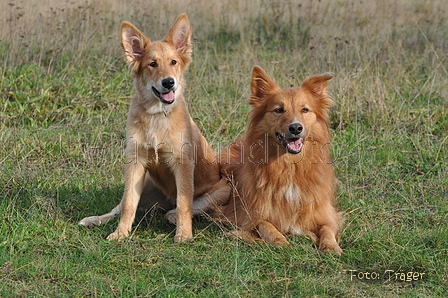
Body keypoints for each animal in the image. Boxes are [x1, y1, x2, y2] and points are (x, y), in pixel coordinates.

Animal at [77, 13, 229, 242]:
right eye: (152, 64)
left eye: (173, 62)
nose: (169, 82)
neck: (158, 115)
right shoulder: (135, 162)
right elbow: (128, 204)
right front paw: (120, 233)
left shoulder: (182, 163)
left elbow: (185, 203)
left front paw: (184, 234)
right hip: (147, 181)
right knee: (119, 206)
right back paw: (94, 219)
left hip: (223, 189)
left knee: (191, 205)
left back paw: (172, 216)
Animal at [216, 66, 344, 254]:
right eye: (278, 110)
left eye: (305, 110)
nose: (296, 128)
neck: (290, 166)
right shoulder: (247, 213)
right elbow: (266, 225)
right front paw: (280, 241)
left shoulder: (325, 213)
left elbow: (328, 228)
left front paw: (330, 246)